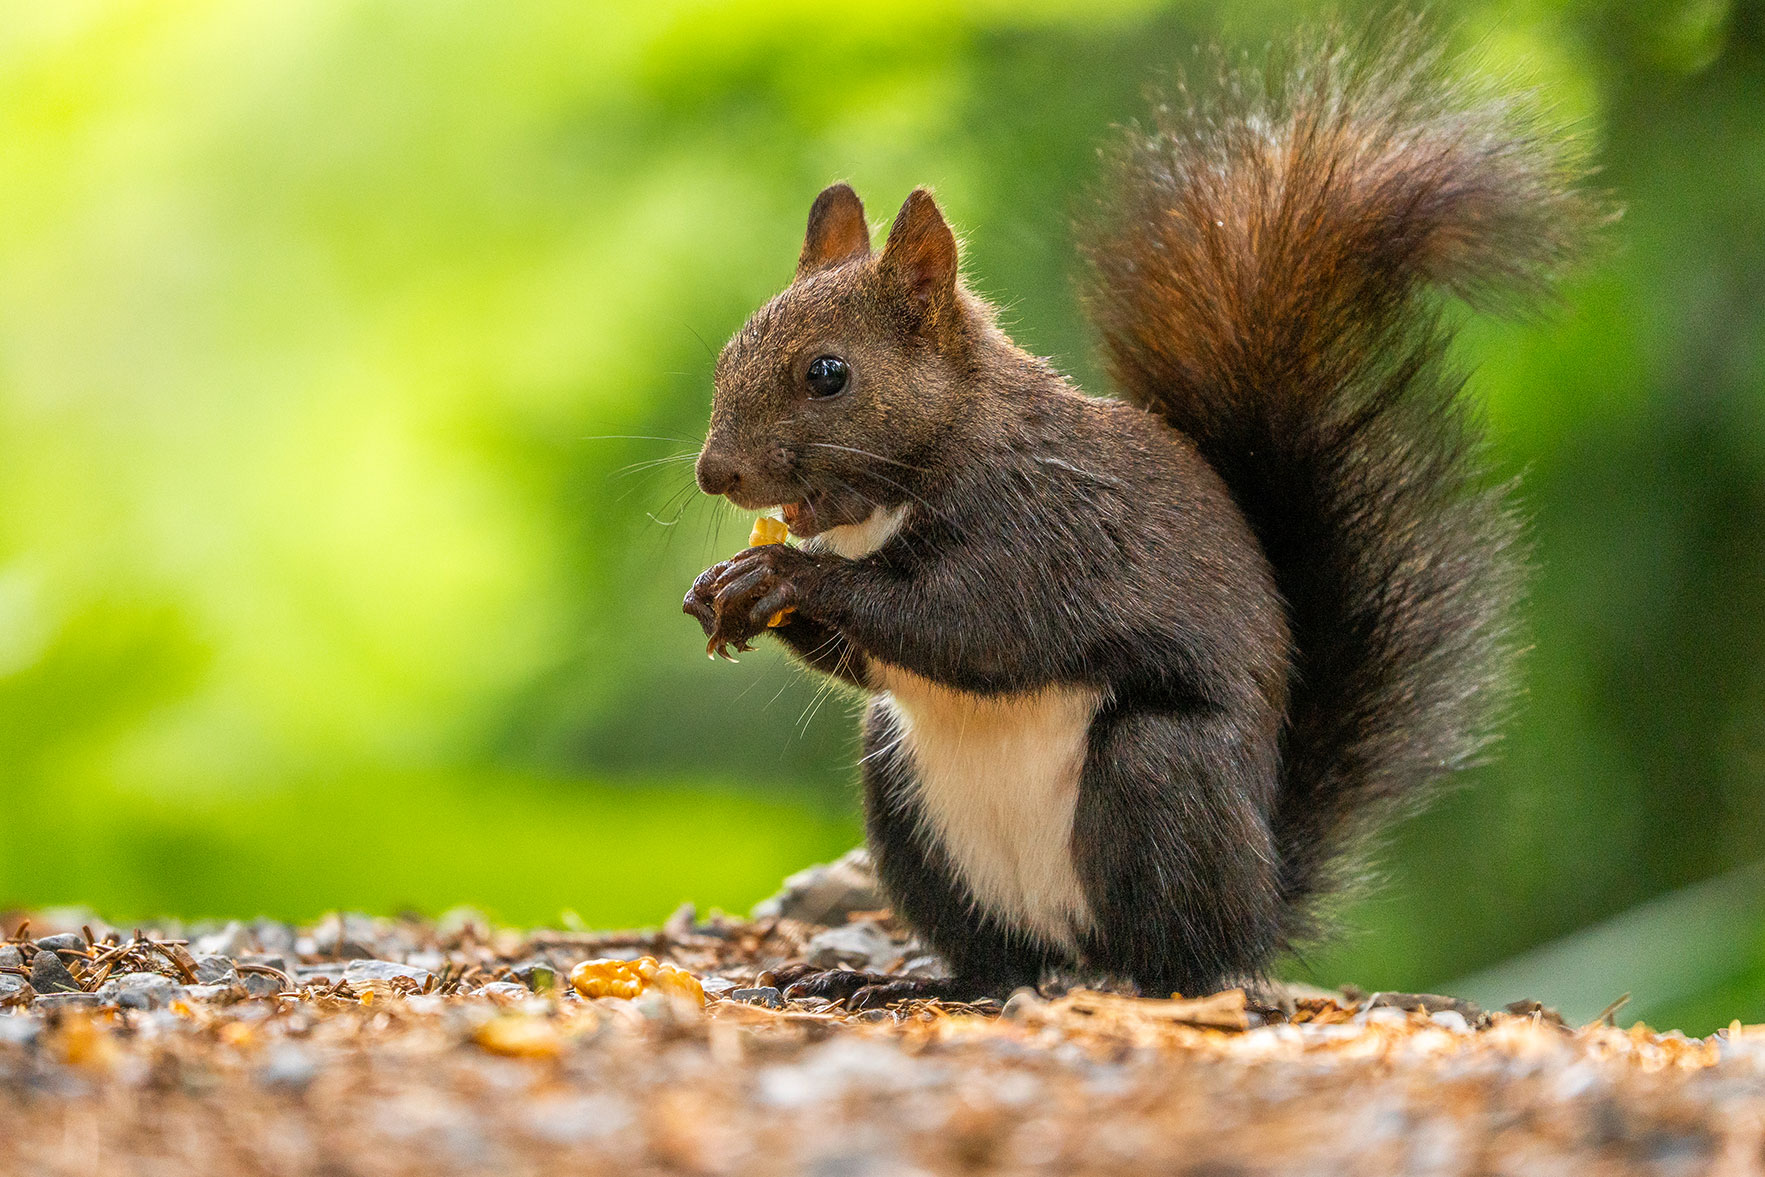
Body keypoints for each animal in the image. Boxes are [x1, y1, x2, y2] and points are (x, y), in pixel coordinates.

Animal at [683, 24, 1597, 1008]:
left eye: (828, 373)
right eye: (731, 350)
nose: (714, 471)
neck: (896, 495)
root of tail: (1264, 889)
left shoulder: (1047, 533)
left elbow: (970, 628)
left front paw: (785, 574)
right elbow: (866, 659)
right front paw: (721, 590)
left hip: (1157, 776)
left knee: (1182, 948)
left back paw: (1150, 981)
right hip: (901, 793)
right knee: (997, 959)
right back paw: (904, 982)